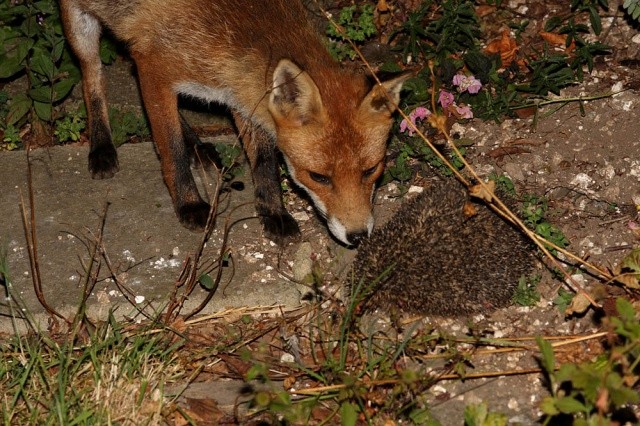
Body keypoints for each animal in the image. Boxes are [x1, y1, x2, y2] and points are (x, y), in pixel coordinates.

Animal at [58, 0, 404, 246]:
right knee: (92, 78)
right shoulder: (154, 67)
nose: (358, 236)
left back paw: (198, 147)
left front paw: (274, 212)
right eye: (318, 177)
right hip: (80, 26)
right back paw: (102, 148)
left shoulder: (243, 97)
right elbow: (170, 150)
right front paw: (189, 204)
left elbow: (264, 162)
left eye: (371, 170)